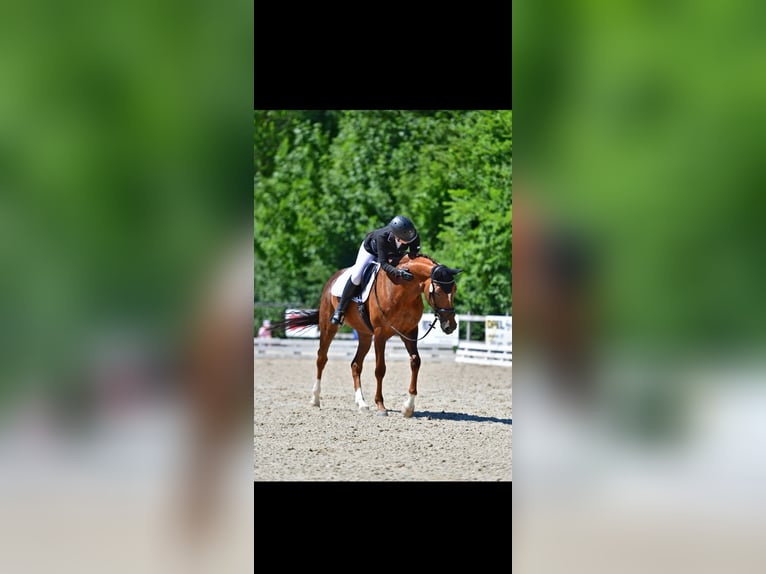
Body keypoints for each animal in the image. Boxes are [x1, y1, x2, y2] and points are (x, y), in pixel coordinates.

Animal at [281, 254, 463, 417]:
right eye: (437, 291)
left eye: (454, 290)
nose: (451, 326)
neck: (403, 291)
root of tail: (333, 278)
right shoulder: (380, 334)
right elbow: (380, 369)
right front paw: (381, 406)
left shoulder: (409, 332)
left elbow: (415, 362)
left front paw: (408, 407)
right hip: (328, 326)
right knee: (321, 358)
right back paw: (315, 400)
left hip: (365, 336)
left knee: (355, 364)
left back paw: (362, 404)